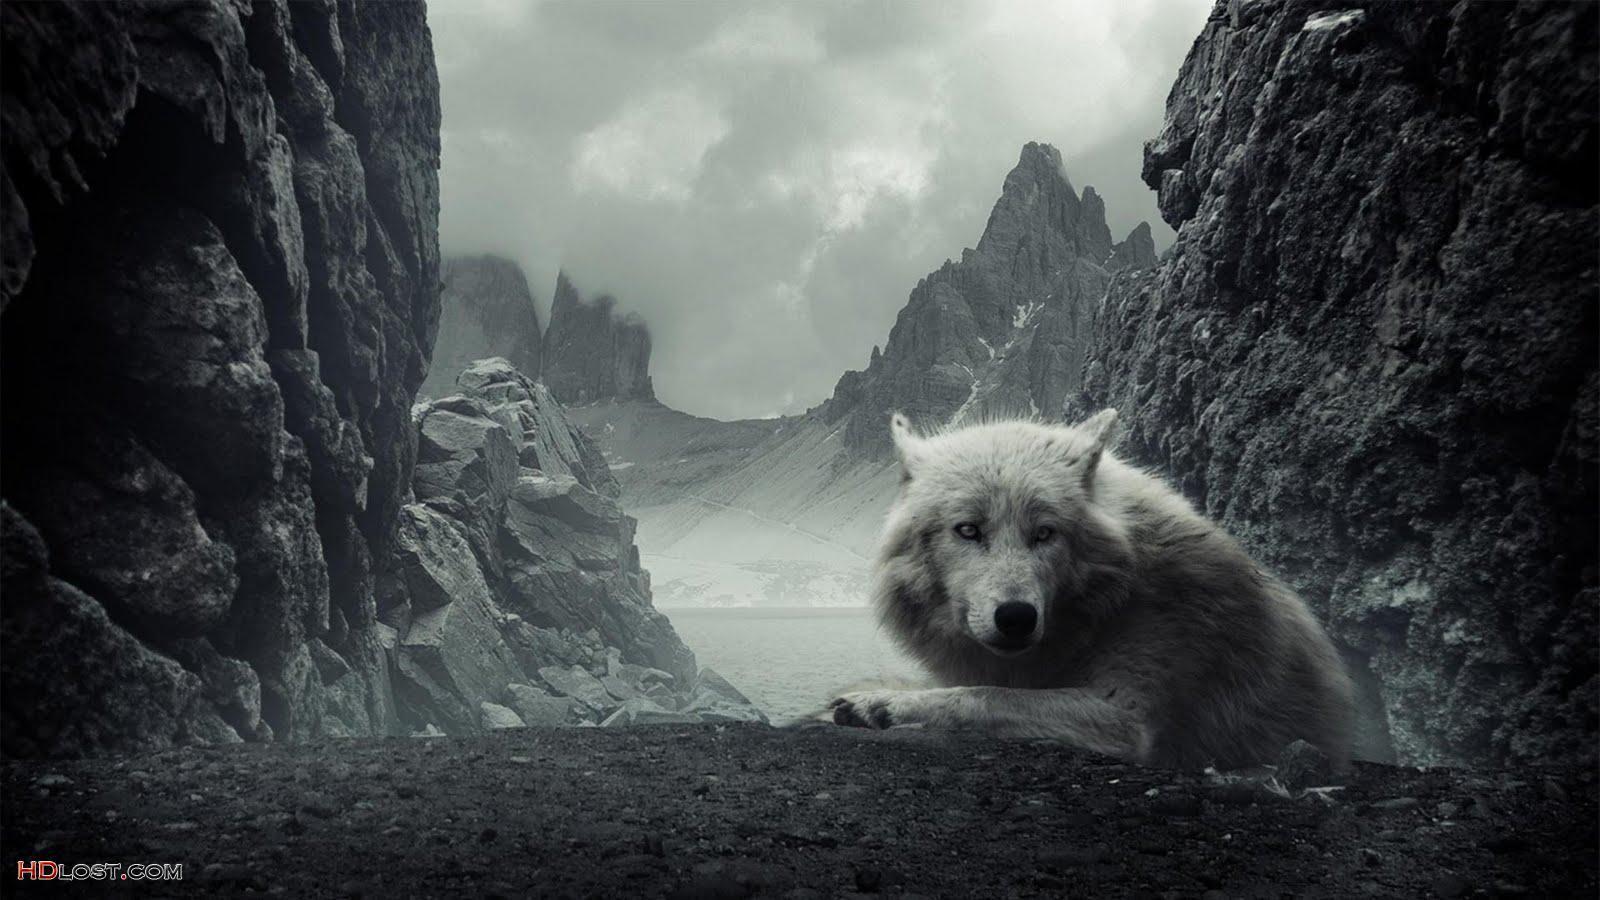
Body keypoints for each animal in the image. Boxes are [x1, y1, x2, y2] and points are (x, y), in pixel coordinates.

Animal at [828, 409, 1354, 768]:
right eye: (968, 530)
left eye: (1045, 533)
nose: (1016, 617)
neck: (1109, 605)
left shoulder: (1128, 717)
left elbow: (984, 695)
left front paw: (882, 703)